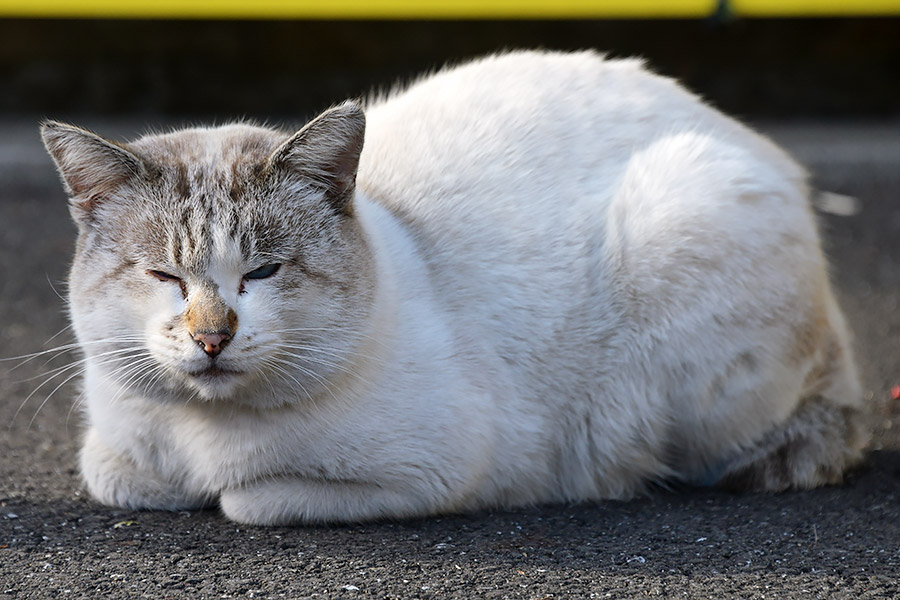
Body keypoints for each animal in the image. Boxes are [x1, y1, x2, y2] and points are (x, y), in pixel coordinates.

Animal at [40, 49, 864, 524]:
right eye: (163, 276)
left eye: (263, 272)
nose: (213, 337)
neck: (200, 436)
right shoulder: (115, 458)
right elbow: (118, 476)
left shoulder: (439, 471)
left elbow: (249, 501)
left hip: (687, 226)